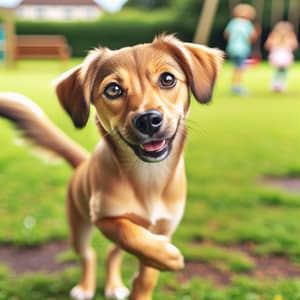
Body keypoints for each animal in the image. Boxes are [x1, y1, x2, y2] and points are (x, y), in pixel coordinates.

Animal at [0, 35, 223, 300]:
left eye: (167, 79)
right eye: (113, 89)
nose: (148, 120)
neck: (148, 178)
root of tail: (82, 163)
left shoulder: (164, 228)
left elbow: (147, 272)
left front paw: (148, 278)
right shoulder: (104, 218)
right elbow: (131, 235)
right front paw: (169, 258)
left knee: (112, 254)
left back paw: (115, 285)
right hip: (79, 228)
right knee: (89, 254)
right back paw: (85, 287)